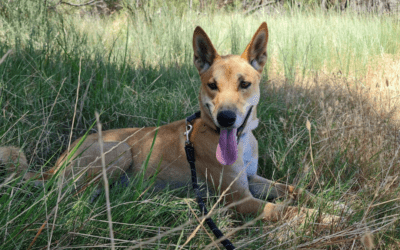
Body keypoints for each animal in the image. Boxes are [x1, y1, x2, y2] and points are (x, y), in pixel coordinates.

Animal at [0, 23, 340, 225]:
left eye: (244, 84)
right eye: (212, 85)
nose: (226, 118)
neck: (239, 142)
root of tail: (54, 165)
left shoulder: (252, 179)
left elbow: (295, 190)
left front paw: (334, 204)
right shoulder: (240, 199)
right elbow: (287, 209)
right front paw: (329, 218)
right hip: (119, 150)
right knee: (80, 197)